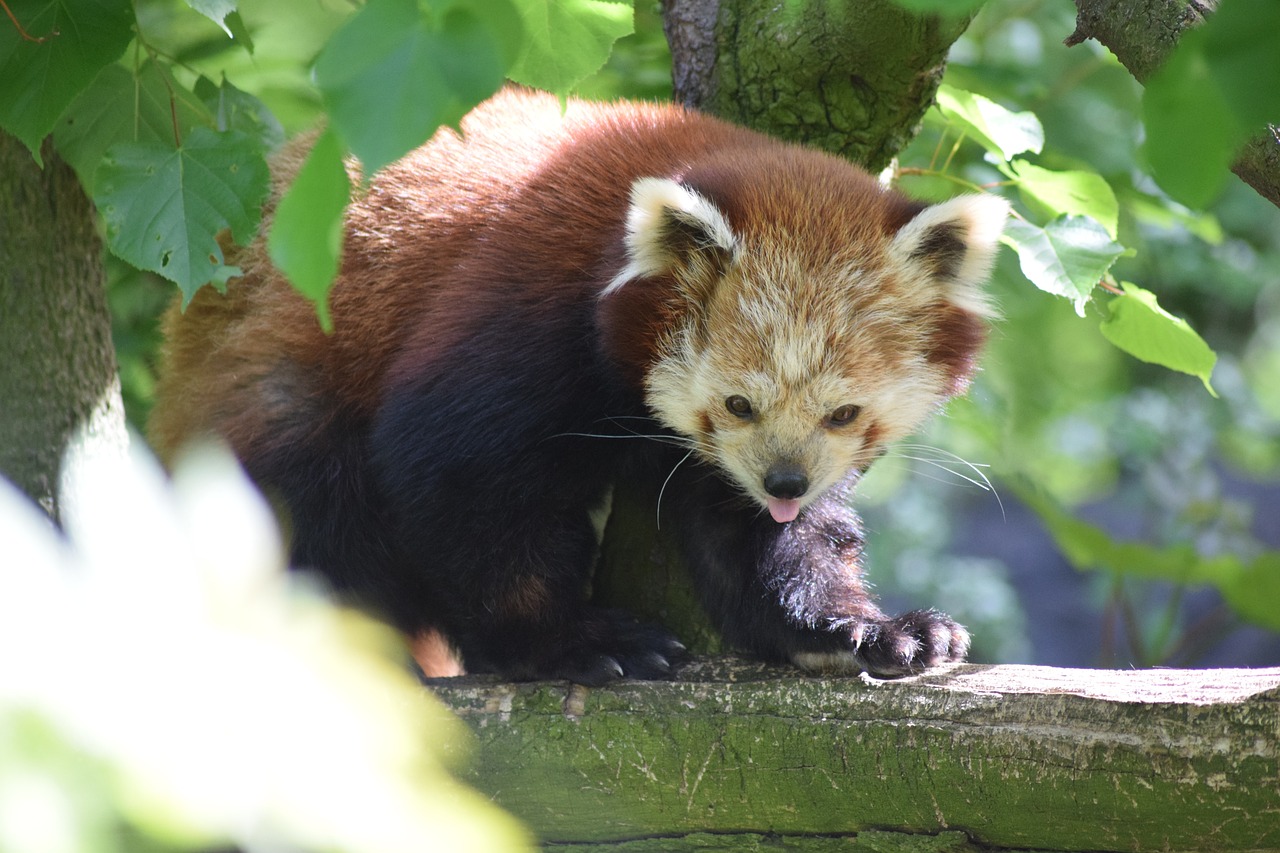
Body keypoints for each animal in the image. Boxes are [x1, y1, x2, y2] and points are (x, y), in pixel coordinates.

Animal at [149, 87, 1008, 686]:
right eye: (738, 403)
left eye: (844, 413)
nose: (783, 481)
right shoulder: (521, 308)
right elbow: (463, 481)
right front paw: (567, 640)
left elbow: (763, 543)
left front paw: (861, 627)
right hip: (272, 387)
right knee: (312, 508)